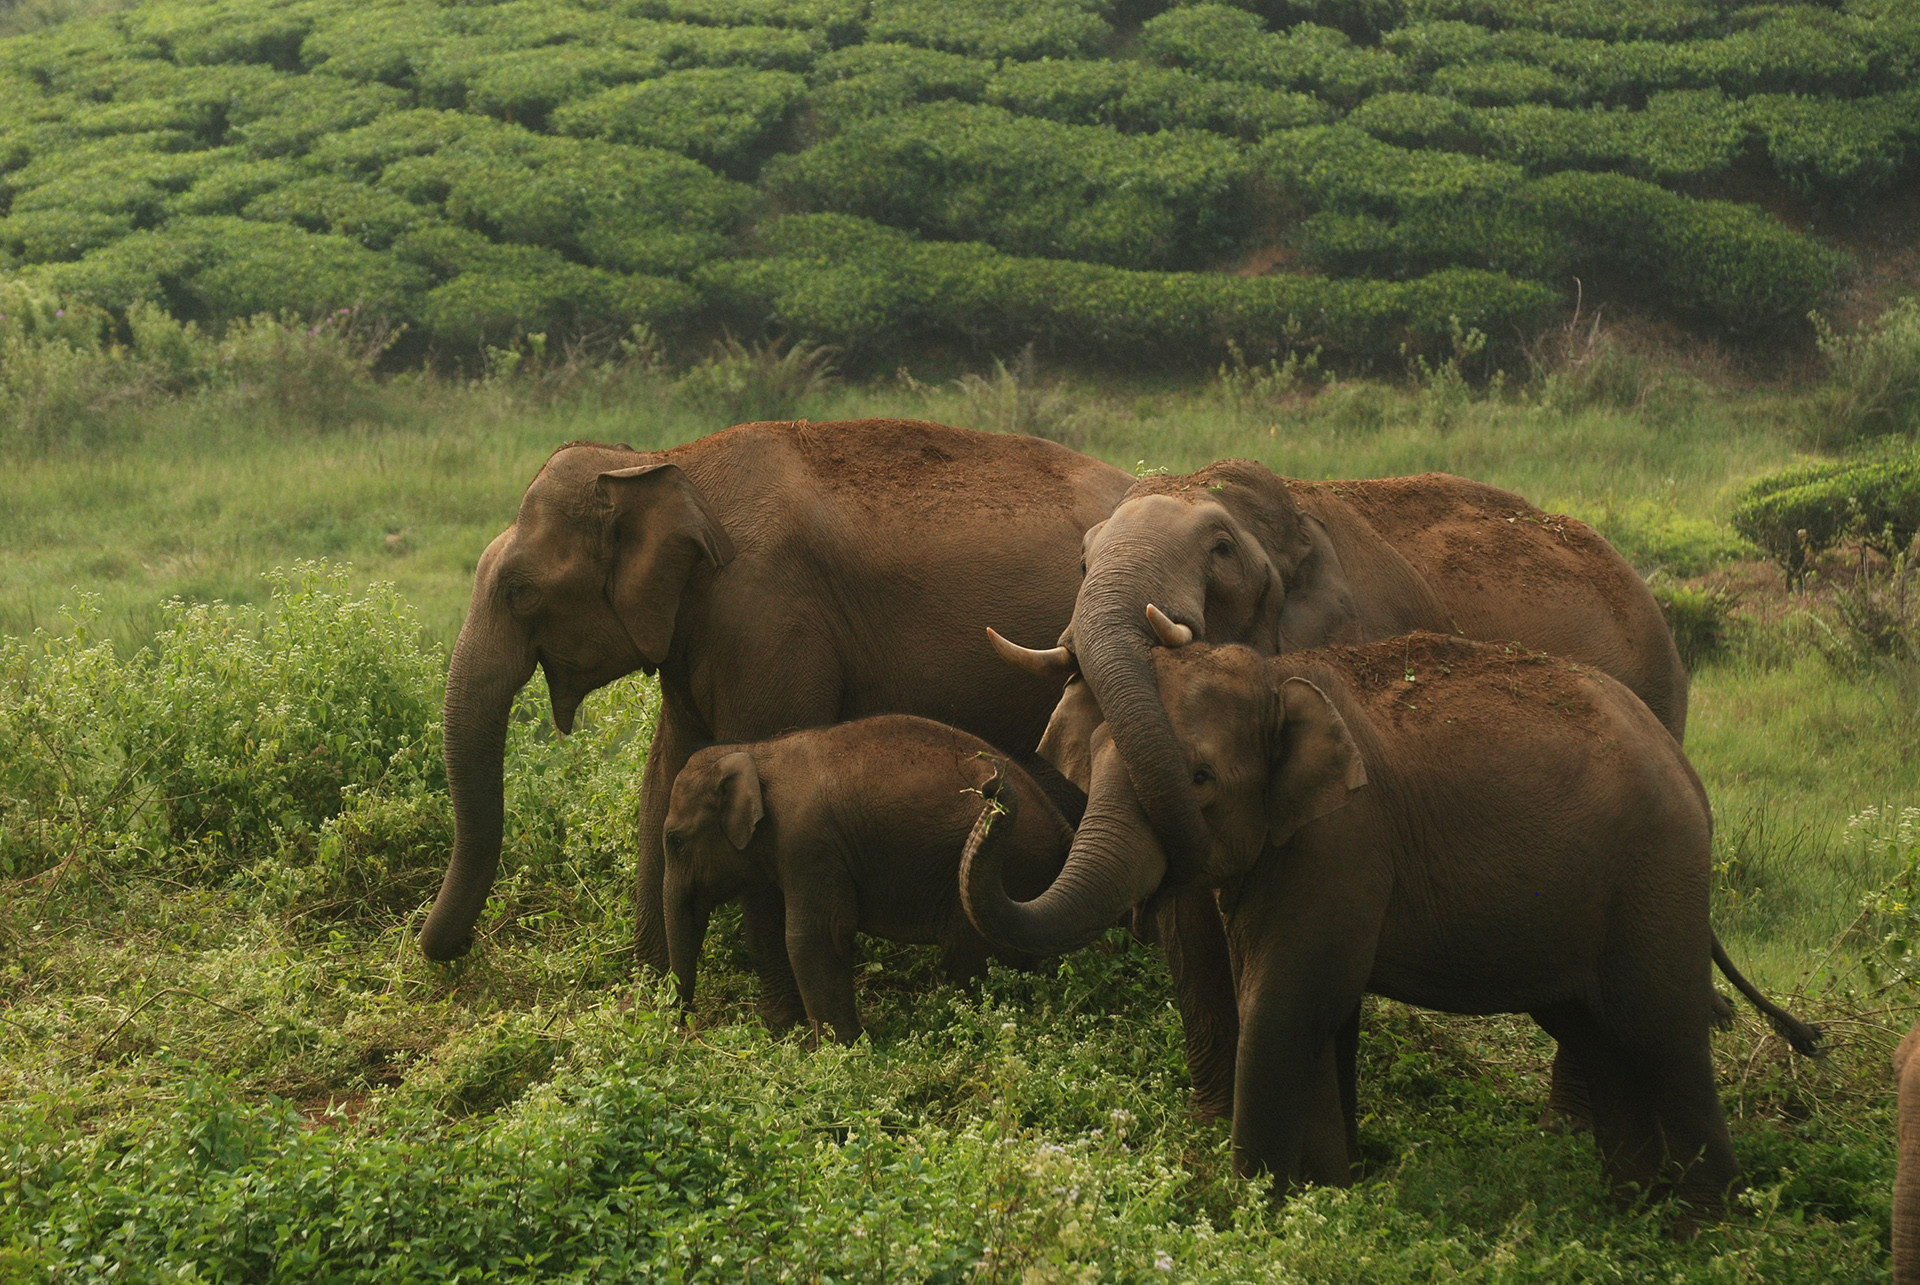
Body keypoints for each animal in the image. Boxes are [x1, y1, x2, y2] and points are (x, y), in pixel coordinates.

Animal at [418, 417, 1132, 982]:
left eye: (518, 591)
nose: (444, 950)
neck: (668, 461)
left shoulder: (767, 617)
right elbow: (667, 773)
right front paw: (647, 994)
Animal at [663, 714, 1073, 1044]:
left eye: (675, 841)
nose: (683, 1025)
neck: (755, 752)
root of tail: (1060, 824)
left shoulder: (809, 843)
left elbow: (815, 936)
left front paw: (839, 1051)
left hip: (1007, 868)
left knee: (970, 956)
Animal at [964, 632, 1742, 1212]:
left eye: (1202, 781)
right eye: (1093, 764)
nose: (992, 788)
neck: (1280, 678)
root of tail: (1686, 767)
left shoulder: (1341, 840)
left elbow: (1284, 1006)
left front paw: (1252, 1213)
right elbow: (1302, 1011)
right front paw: (1326, 1196)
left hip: (1657, 876)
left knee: (1663, 1030)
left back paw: (1698, 1229)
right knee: (1601, 1035)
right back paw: (1632, 1214)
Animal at [985, 460, 1819, 1120]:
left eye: (1219, 550)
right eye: (1083, 555)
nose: (992, 791)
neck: (1293, 514)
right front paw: (1208, 1130)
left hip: (1655, 706)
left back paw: (1571, 1123)